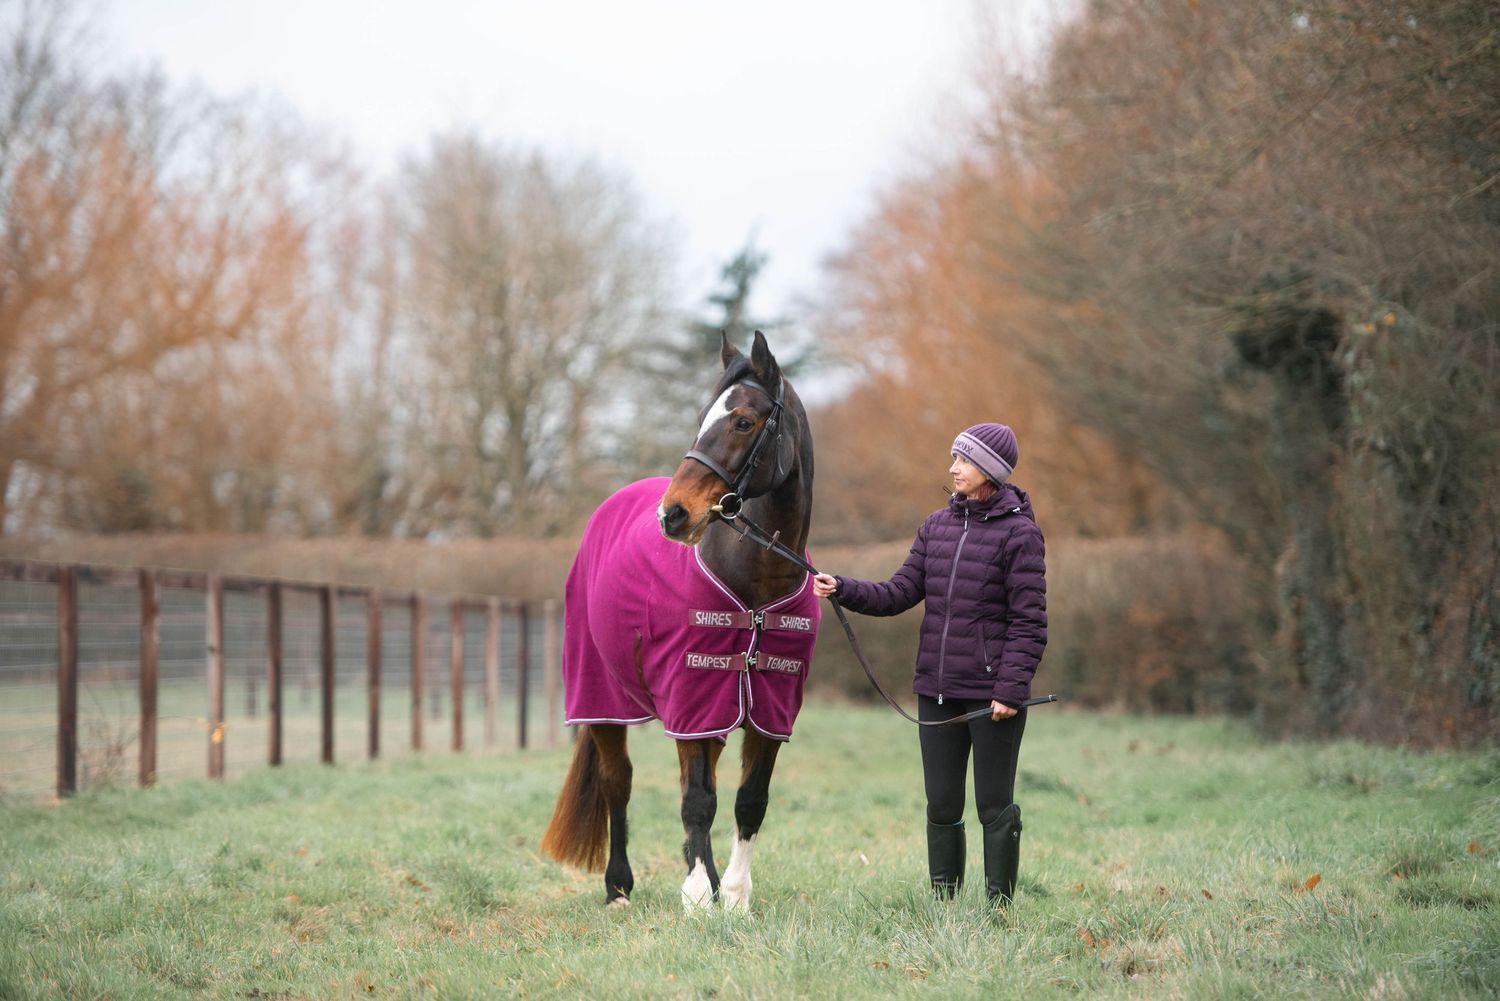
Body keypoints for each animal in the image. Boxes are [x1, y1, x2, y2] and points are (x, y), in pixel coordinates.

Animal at [540, 330, 818, 911]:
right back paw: (619, 887)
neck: (755, 584)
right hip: (604, 698)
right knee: (619, 782)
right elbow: (697, 802)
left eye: (743, 421)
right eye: (701, 417)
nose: (673, 514)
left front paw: (731, 897)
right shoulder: (691, 695)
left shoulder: (769, 710)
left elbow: (748, 801)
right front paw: (696, 896)